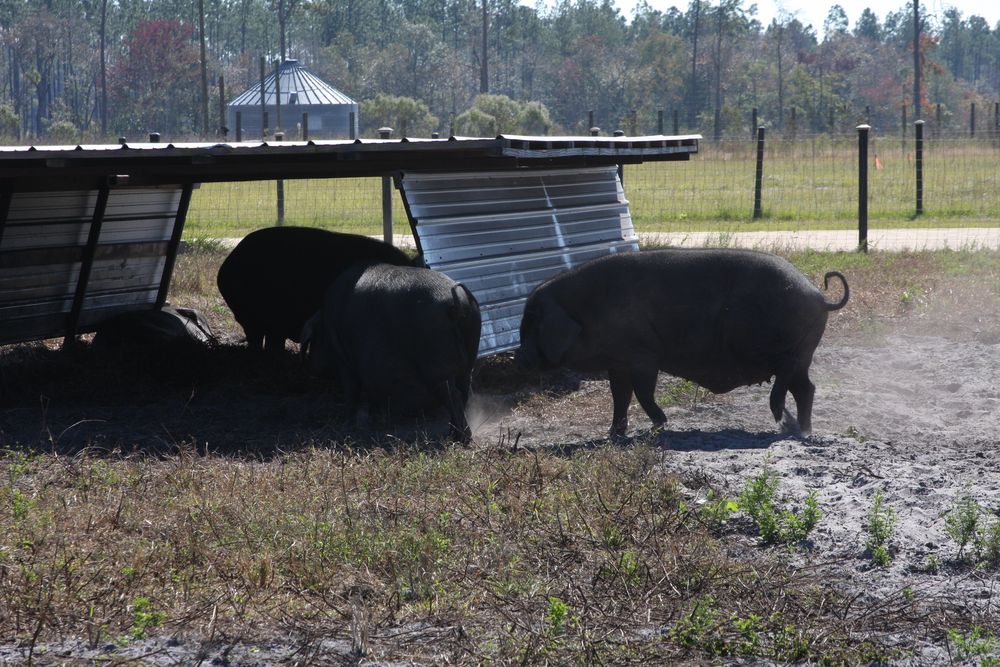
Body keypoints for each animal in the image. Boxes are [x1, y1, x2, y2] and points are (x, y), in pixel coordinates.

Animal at [515, 248, 849, 438]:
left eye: (531, 324)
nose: (519, 358)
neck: (584, 312)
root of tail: (818, 295)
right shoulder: (618, 362)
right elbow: (619, 396)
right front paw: (613, 434)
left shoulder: (643, 356)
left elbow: (643, 392)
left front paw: (658, 426)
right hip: (803, 354)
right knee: (806, 388)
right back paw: (801, 430)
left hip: (784, 350)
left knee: (787, 378)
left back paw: (783, 420)